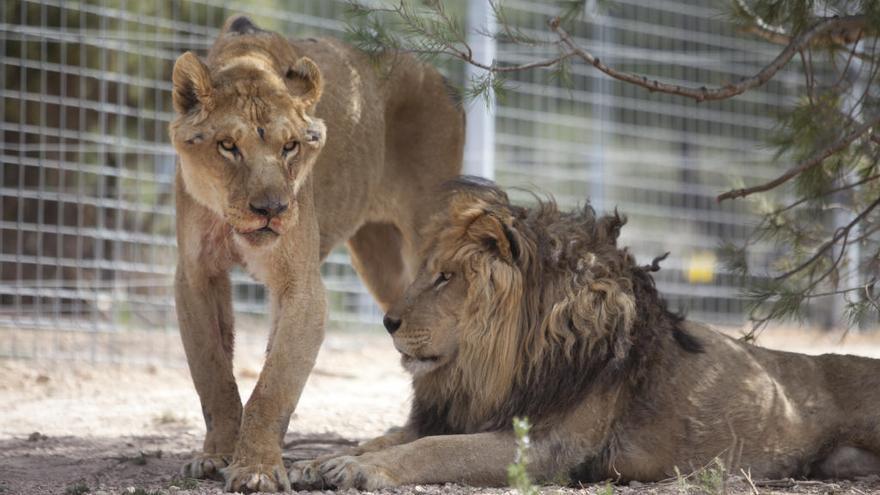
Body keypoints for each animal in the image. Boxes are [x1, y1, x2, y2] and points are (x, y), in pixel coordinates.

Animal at [168, 14, 464, 492]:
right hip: (382, 262)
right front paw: (216, 456)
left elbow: (274, 385)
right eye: (228, 145)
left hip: (428, 237)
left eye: (290, 146)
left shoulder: (301, 284)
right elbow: (212, 373)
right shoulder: (196, 277)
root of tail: (436, 74)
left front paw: (256, 468)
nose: (271, 210)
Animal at [290, 178, 880, 492]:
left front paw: (355, 468)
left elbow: (435, 450)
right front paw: (314, 460)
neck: (495, 366)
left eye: (445, 277)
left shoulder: (547, 448)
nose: (387, 322)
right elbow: (391, 436)